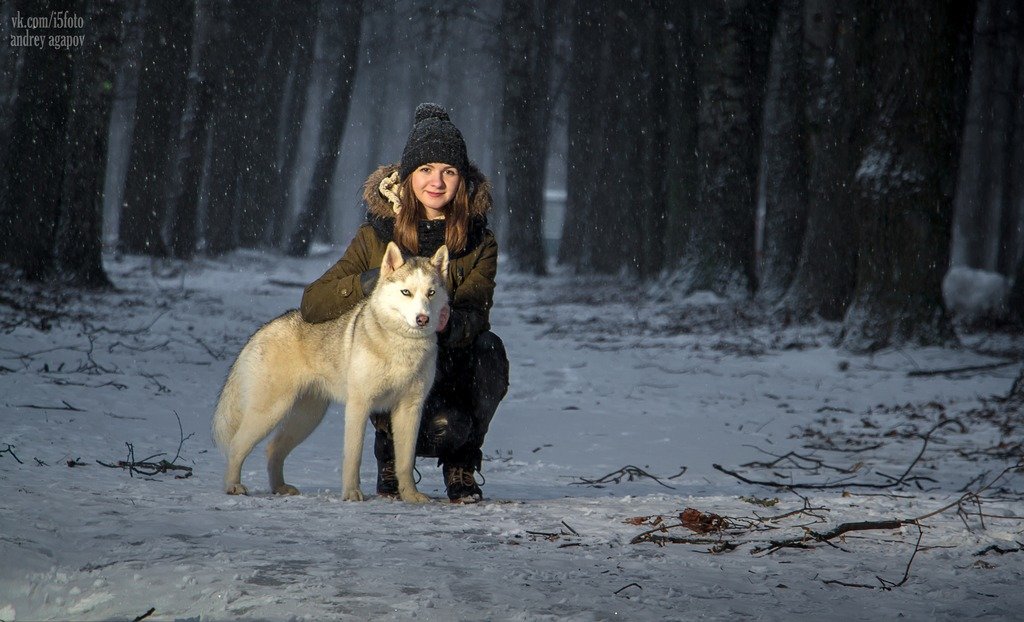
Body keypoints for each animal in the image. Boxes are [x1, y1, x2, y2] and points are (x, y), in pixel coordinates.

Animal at [211, 240, 448, 504]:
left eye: (431, 293)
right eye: (406, 292)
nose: (423, 319)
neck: (403, 347)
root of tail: (262, 330)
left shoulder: (410, 408)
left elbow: (405, 461)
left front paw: (410, 496)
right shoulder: (359, 405)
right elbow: (353, 456)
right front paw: (352, 493)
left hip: (307, 418)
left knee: (273, 448)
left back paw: (280, 488)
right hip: (270, 413)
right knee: (236, 446)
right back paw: (233, 486)